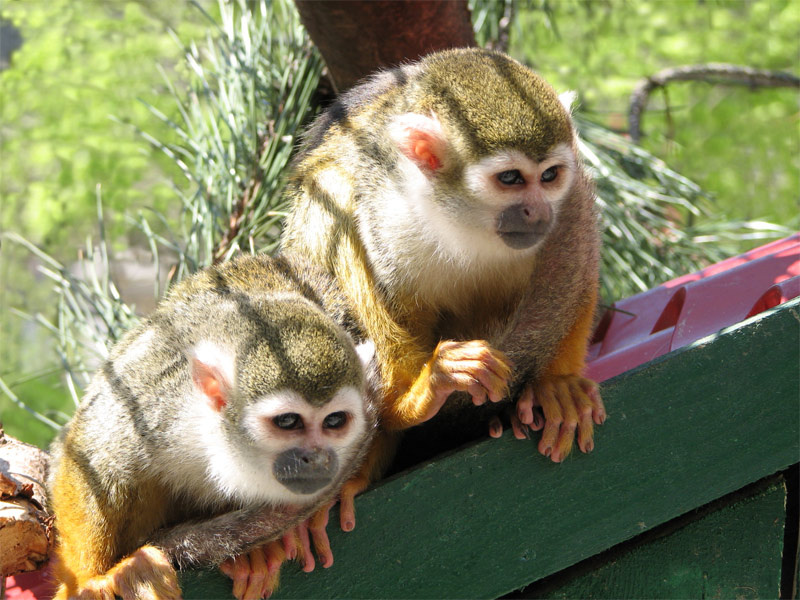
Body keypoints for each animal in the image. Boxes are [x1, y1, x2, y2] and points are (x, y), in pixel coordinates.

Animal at [47, 253, 377, 599]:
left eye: (334, 420)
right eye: (288, 421)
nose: (317, 458)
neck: (213, 437)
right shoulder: (153, 401)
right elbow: (90, 457)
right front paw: (85, 581)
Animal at [279, 47, 607, 532]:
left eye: (549, 176)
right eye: (511, 179)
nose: (538, 212)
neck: (463, 219)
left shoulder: (568, 208)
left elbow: (579, 278)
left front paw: (557, 385)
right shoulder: (386, 212)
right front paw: (425, 390)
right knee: (332, 191)